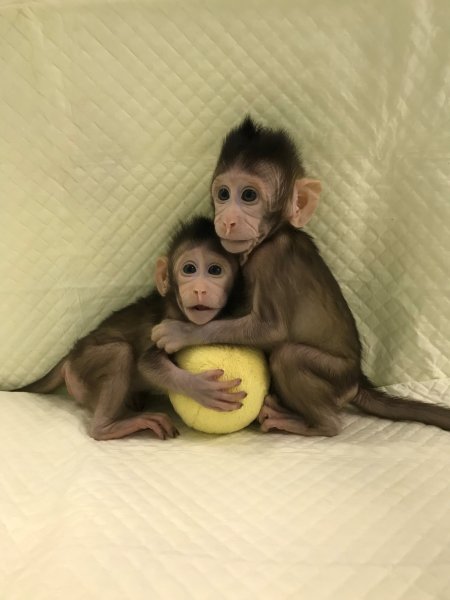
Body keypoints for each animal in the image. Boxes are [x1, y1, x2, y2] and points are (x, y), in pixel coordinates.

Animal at [16, 217, 246, 440]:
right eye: (189, 269)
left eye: (215, 270)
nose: (200, 289)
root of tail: (71, 356)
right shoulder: (164, 323)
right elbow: (147, 363)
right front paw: (200, 388)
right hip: (82, 366)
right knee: (120, 351)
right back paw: (107, 427)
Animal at [153, 117, 450, 436]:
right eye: (223, 194)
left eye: (248, 195)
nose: (227, 220)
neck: (275, 233)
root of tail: (357, 380)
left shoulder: (270, 260)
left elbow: (271, 329)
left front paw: (181, 332)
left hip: (335, 376)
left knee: (289, 357)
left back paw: (312, 423)